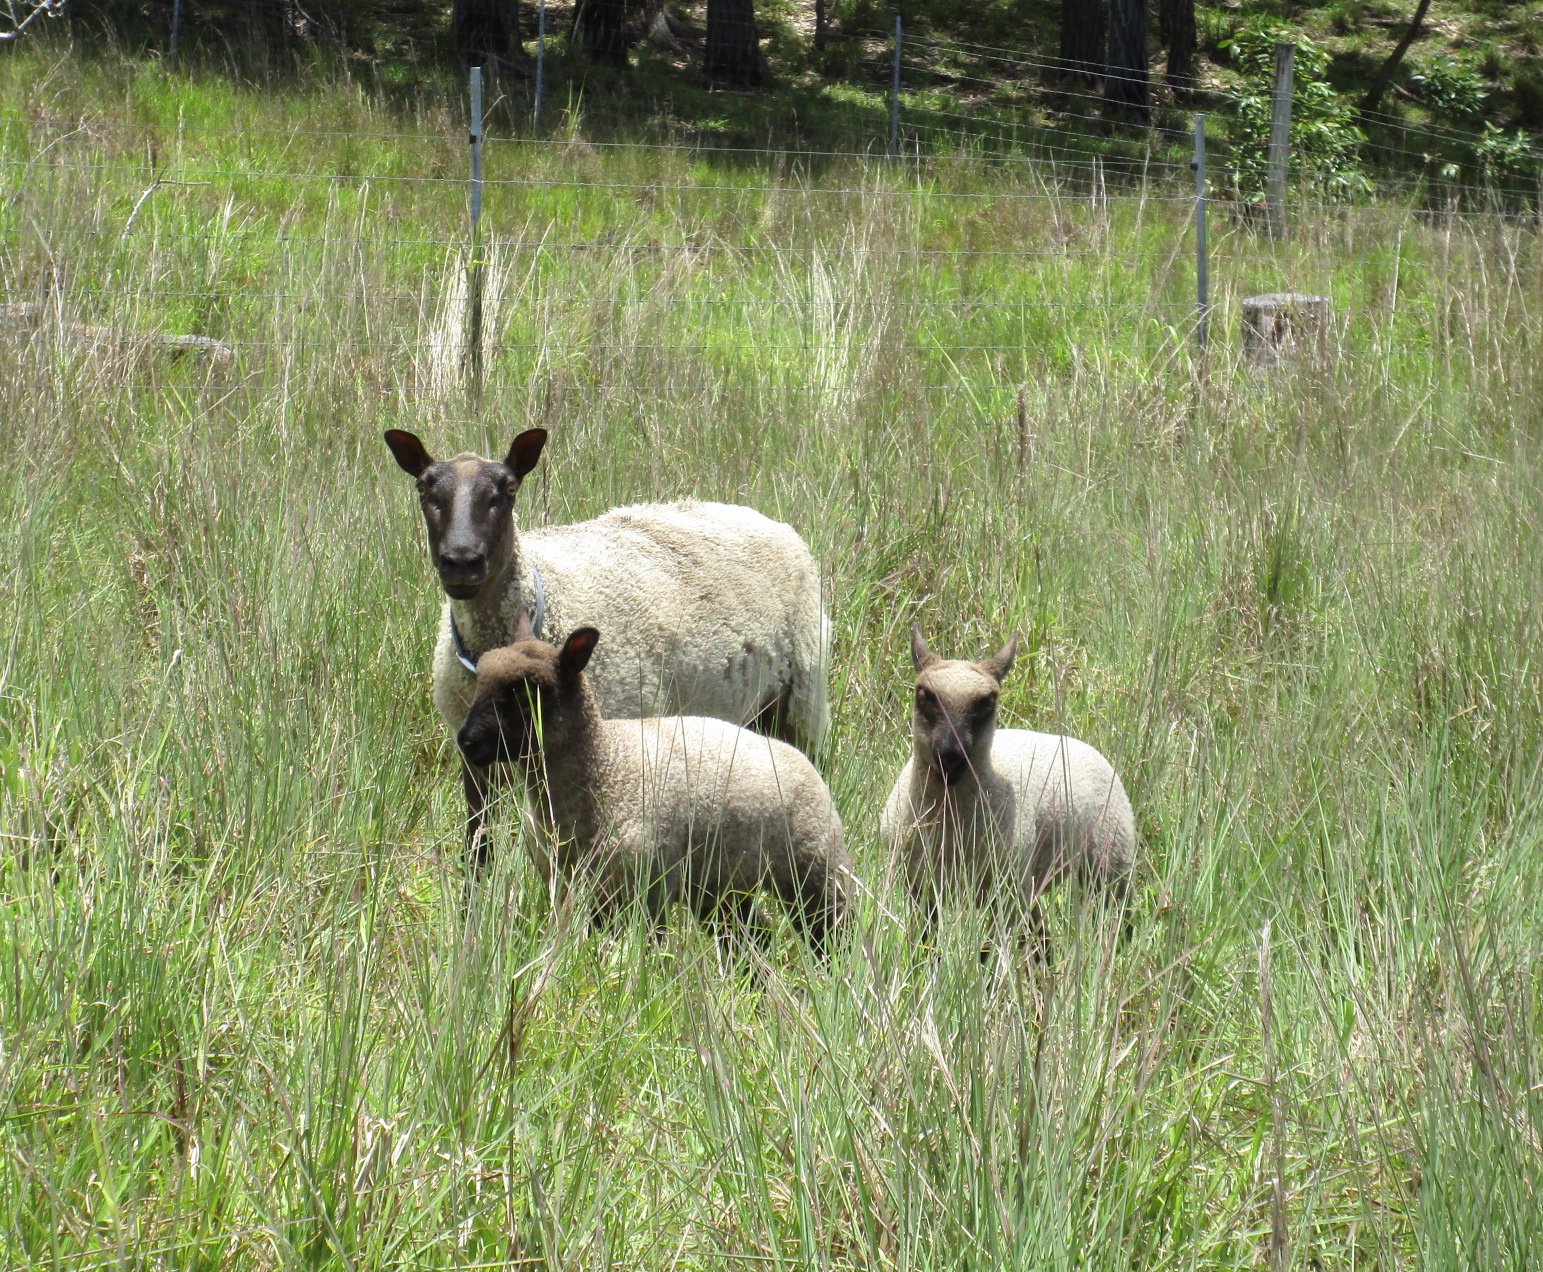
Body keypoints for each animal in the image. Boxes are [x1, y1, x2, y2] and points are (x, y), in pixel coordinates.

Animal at [382, 426, 833, 864]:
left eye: (508, 489)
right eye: (424, 488)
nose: (461, 562)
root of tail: (753, 513)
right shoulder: (474, 756)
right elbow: (479, 848)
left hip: (802, 698)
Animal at [450, 617, 851, 950]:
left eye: (528, 688)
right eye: (480, 678)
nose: (467, 740)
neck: (604, 768)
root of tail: (802, 760)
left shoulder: (646, 889)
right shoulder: (568, 885)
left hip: (814, 869)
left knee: (830, 931)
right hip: (721, 884)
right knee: (752, 937)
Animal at [882, 626, 1135, 932]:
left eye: (987, 701)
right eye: (924, 694)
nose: (950, 756)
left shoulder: (1007, 889)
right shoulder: (920, 887)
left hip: (1109, 864)